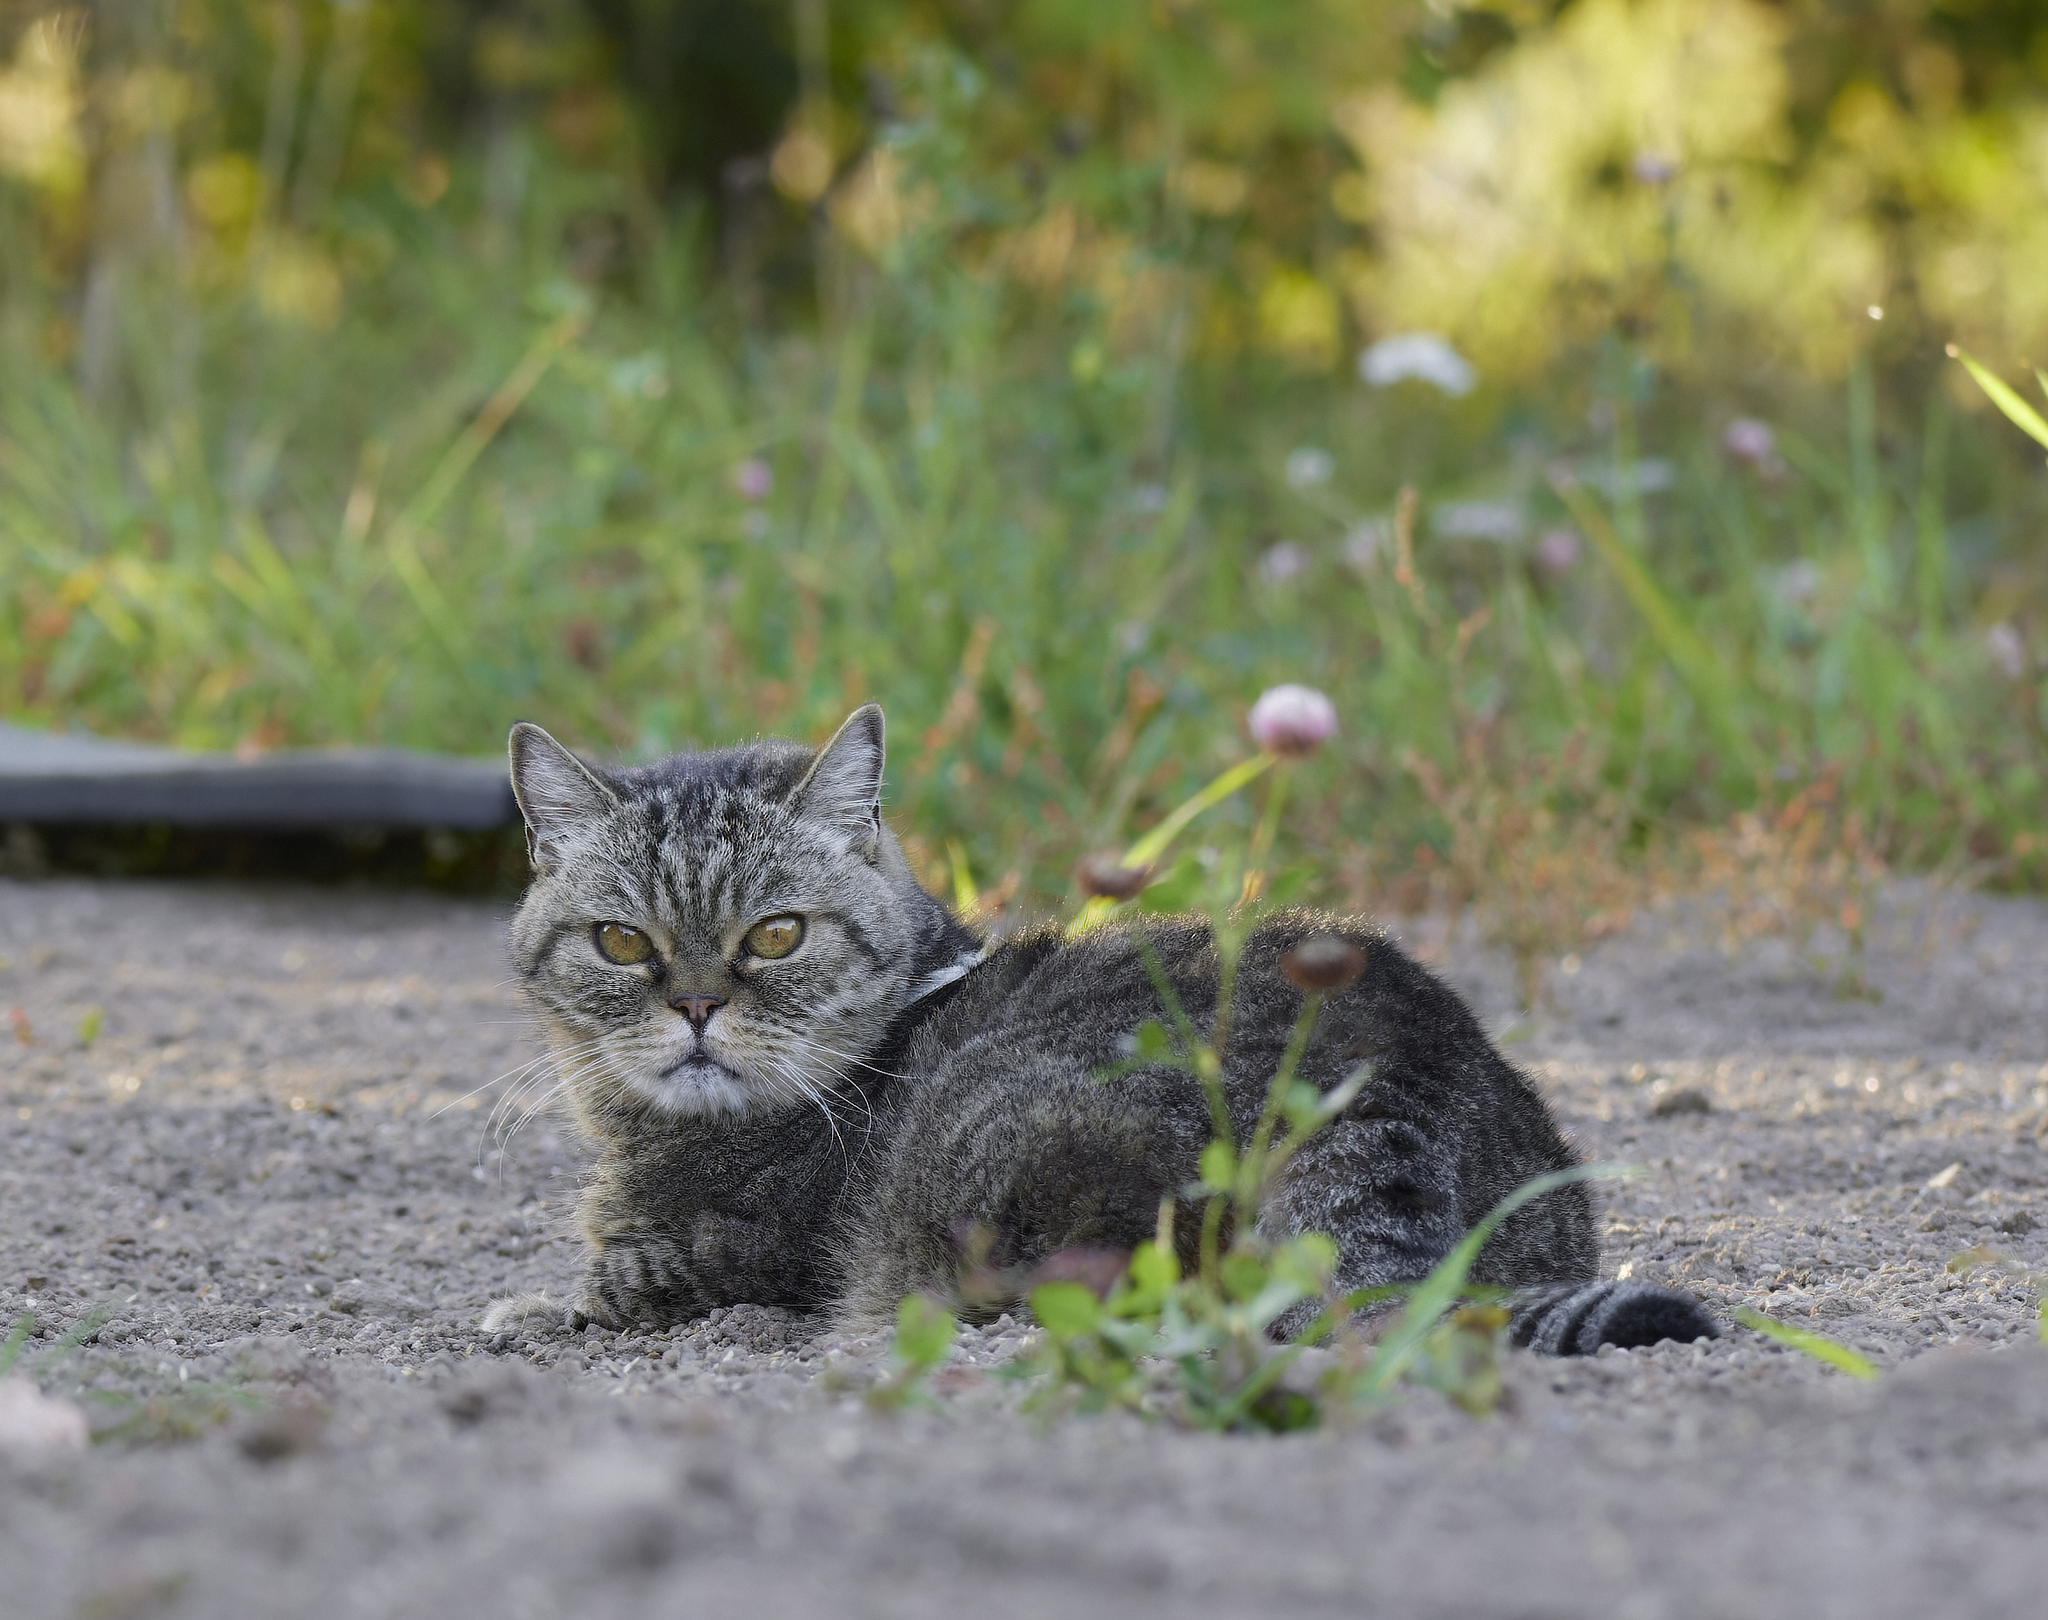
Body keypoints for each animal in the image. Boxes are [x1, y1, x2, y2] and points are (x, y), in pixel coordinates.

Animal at [487, 708, 1720, 1359]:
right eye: (621, 944)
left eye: (777, 935)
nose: (694, 1007)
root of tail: (1378, 1061)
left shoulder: (745, 1258)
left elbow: (615, 1285)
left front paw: (539, 1303)